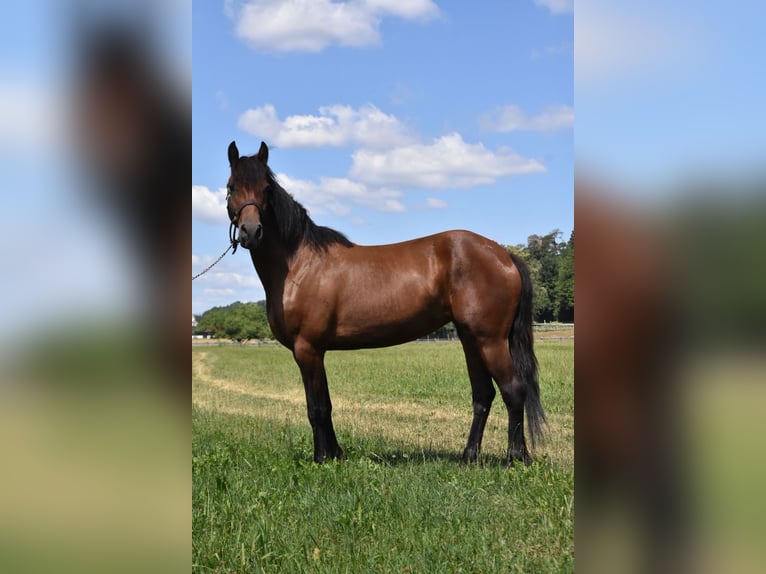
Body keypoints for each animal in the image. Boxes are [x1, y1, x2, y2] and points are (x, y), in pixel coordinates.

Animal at [225, 140, 546, 465]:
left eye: (266, 189)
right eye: (231, 187)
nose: (251, 232)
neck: (299, 265)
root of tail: (504, 254)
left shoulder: (307, 348)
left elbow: (316, 408)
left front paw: (321, 458)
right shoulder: (316, 351)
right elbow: (325, 405)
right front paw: (336, 454)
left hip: (490, 340)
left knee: (513, 390)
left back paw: (516, 457)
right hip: (471, 339)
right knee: (483, 395)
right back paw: (469, 456)